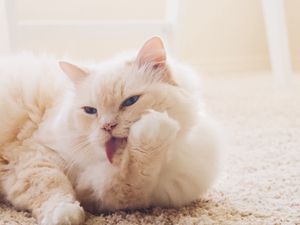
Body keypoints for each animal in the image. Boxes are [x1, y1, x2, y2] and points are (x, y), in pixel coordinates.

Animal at [0, 37, 220, 225]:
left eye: (130, 101)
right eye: (90, 111)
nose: (107, 126)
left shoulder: (110, 196)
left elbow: (132, 180)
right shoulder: (34, 154)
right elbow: (50, 185)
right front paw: (63, 214)